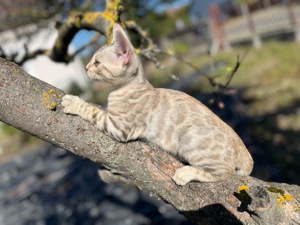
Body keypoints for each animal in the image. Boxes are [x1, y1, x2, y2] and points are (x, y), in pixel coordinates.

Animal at [62, 23, 253, 185]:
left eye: (97, 63)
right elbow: (100, 108)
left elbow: (94, 112)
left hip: (191, 139)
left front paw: (73, 103)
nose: (86, 68)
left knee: (225, 172)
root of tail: (243, 150)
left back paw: (186, 173)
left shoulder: (120, 127)